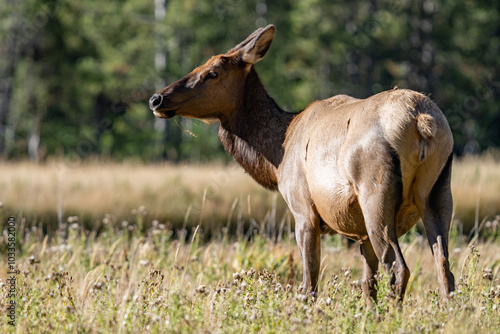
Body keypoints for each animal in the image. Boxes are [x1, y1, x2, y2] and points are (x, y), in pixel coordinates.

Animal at [146, 24, 456, 302]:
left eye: (212, 73)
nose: (157, 98)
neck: (276, 157)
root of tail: (421, 121)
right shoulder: (359, 232)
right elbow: (368, 286)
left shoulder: (303, 210)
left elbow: (309, 285)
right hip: (438, 191)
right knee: (444, 268)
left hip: (375, 192)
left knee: (398, 268)